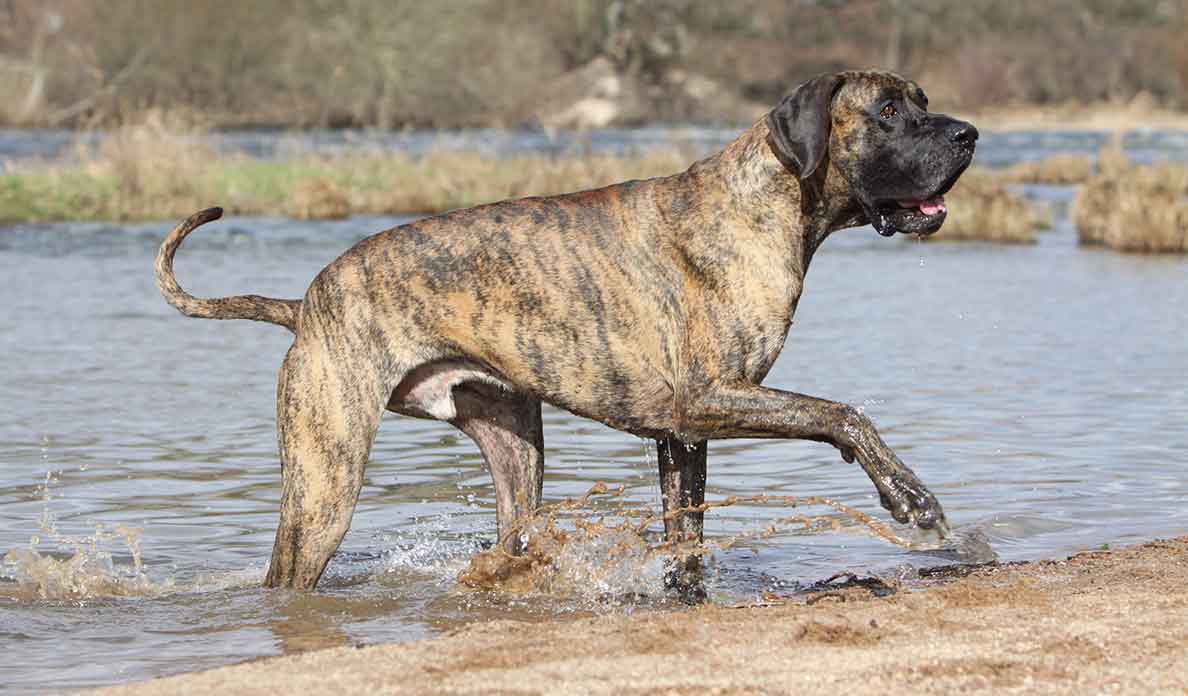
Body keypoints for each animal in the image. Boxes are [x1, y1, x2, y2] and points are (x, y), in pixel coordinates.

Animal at [155, 70, 974, 593]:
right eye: (889, 112)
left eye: (924, 103)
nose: (968, 134)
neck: (768, 198)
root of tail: (307, 304)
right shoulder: (712, 397)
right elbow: (843, 414)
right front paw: (913, 501)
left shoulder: (684, 435)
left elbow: (686, 532)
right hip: (326, 486)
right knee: (287, 577)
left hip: (516, 453)